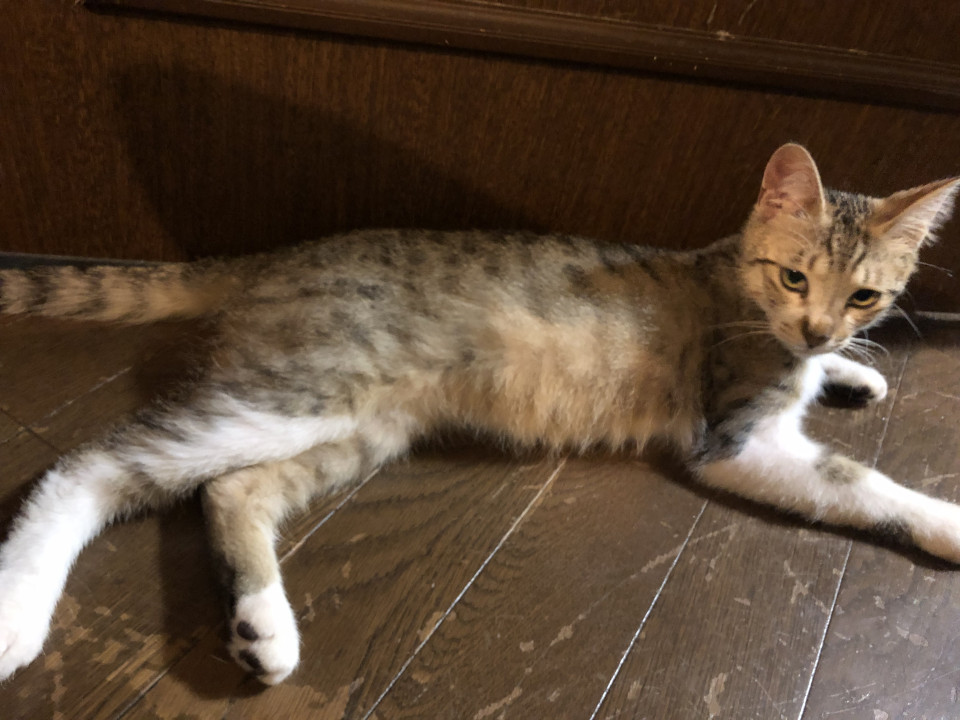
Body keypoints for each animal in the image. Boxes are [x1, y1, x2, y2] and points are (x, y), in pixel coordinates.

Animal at [0, 144, 958, 686]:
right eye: (795, 277)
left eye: (865, 295)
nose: (820, 329)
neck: (739, 282)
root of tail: (278, 256)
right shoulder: (731, 440)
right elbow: (860, 480)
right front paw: (943, 517)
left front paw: (851, 371)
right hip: (301, 392)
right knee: (92, 462)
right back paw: (18, 609)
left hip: (364, 425)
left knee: (231, 490)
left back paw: (262, 627)